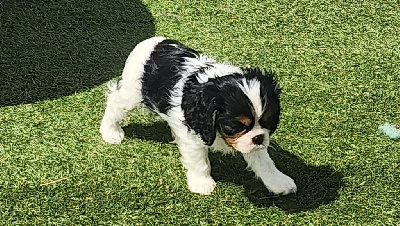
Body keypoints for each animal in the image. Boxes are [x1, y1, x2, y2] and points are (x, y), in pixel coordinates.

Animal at [99, 37, 296, 196]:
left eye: (268, 121)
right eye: (236, 126)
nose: (259, 138)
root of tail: (152, 43)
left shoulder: (250, 139)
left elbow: (264, 161)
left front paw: (278, 182)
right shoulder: (194, 135)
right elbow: (198, 161)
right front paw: (202, 183)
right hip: (132, 93)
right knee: (114, 102)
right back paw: (110, 132)